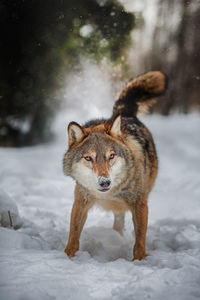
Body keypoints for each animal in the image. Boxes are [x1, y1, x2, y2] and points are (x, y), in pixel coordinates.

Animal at [63, 70, 166, 260]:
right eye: (88, 158)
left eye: (111, 156)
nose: (105, 182)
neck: (111, 193)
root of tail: (124, 113)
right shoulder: (80, 201)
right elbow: (73, 237)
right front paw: (67, 257)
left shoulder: (140, 204)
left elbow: (139, 242)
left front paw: (139, 261)